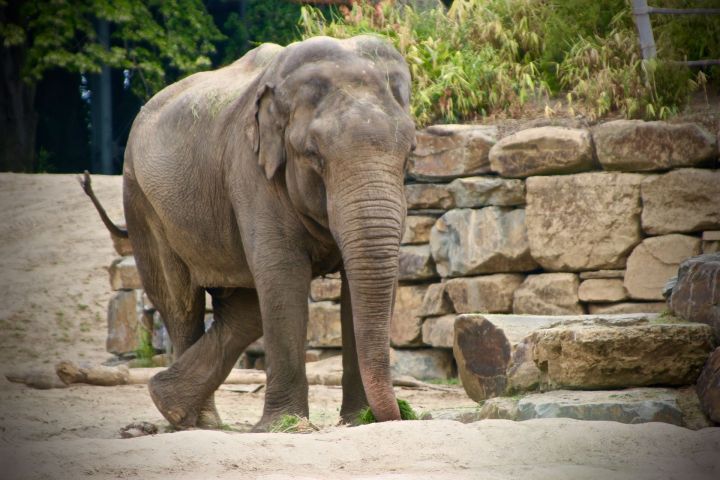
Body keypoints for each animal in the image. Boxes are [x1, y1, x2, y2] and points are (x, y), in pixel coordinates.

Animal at [85, 35, 420, 430]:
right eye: (313, 154)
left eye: (410, 153)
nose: (402, 413)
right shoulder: (251, 171)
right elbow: (284, 275)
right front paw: (286, 425)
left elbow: (356, 285)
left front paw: (359, 422)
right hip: (142, 203)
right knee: (181, 303)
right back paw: (194, 420)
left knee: (243, 308)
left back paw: (175, 405)